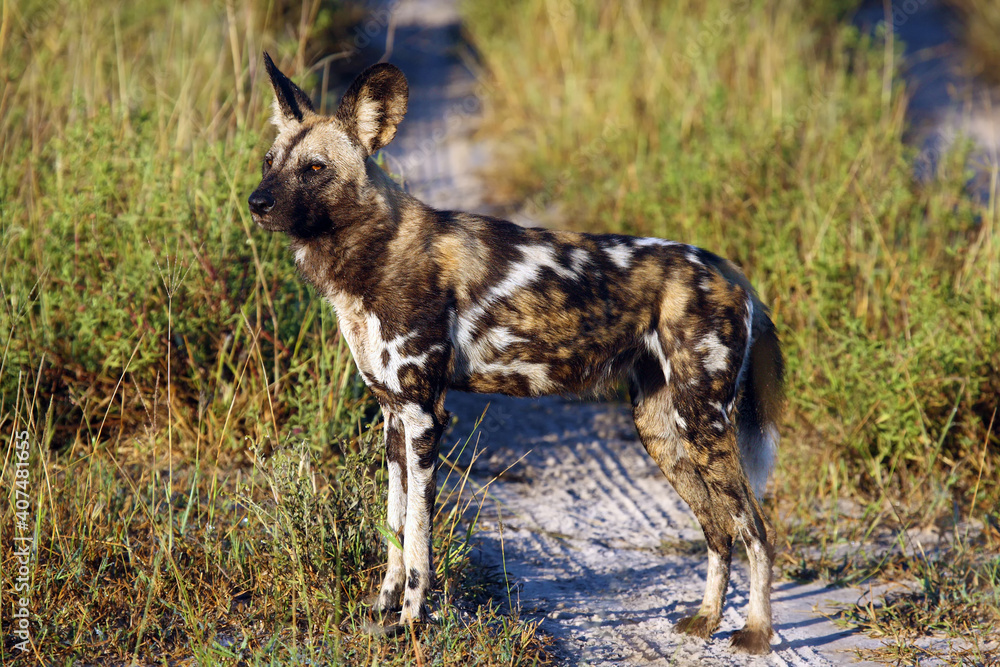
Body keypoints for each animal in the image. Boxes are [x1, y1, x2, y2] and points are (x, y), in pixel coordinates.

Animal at [250, 53, 788, 656]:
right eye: (270, 162)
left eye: (314, 168)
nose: (257, 202)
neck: (371, 256)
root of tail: (732, 273)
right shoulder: (393, 416)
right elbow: (394, 527)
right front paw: (383, 610)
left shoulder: (424, 416)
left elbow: (418, 542)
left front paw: (411, 622)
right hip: (662, 430)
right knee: (718, 529)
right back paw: (707, 619)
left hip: (703, 421)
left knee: (756, 528)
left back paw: (756, 632)